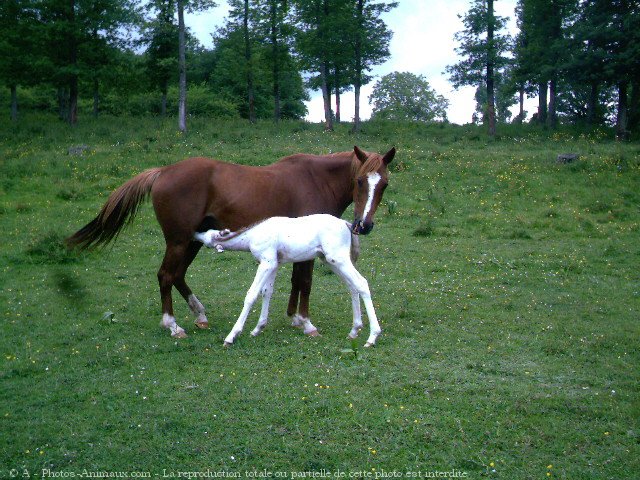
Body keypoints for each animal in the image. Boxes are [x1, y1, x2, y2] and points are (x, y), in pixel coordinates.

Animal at [195, 216, 382, 346]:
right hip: (330, 260)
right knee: (352, 286)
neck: (252, 236)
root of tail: (346, 224)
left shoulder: (267, 262)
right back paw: (354, 331)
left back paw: (372, 337)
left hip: (338, 258)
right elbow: (267, 292)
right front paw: (257, 329)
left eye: (208, 235)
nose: (195, 234)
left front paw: (231, 336)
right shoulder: (274, 263)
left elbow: (252, 294)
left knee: (361, 283)